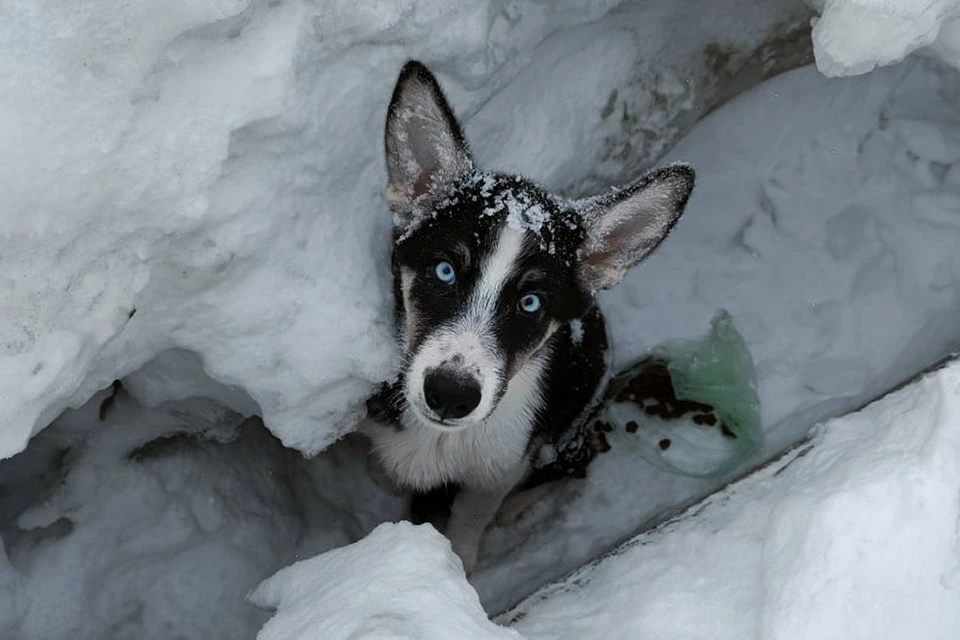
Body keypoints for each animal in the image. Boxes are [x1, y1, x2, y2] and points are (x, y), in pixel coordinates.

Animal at [356, 60, 692, 572]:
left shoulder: (496, 469)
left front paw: (459, 568)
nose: (450, 395)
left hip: (567, 441)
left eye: (531, 303)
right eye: (444, 270)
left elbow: (470, 519)